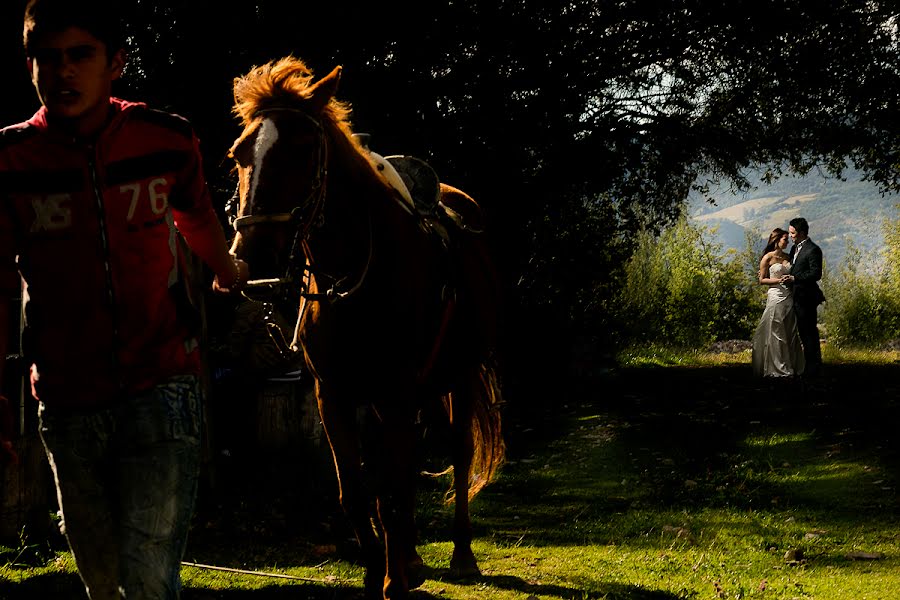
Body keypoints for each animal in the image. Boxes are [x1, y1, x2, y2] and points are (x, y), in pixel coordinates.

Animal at [227, 57, 506, 600]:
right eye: (240, 154)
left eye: (302, 149)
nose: (253, 257)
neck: (357, 276)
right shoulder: (334, 396)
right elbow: (357, 492)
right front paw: (382, 574)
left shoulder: (395, 392)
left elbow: (392, 488)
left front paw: (394, 582)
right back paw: (412, 558)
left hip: (457, 377)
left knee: (458, 455)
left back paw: (460, 555)